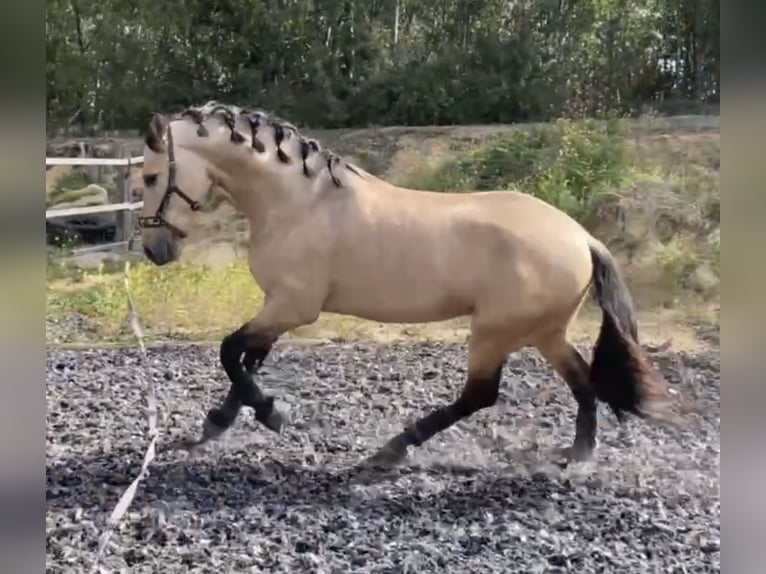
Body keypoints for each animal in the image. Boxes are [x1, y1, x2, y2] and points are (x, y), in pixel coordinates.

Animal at [140, 102, 680, 468]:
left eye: (147, 178)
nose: (154, 250)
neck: (299, 202)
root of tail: (582, 237)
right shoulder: (277, 307)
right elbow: (246, 360)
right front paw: (218, 422)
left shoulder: (292, 307)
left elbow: (230, 353)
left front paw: (274, 413)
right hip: (544, 332)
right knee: (582, 382)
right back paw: (579, 454)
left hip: (495, 331)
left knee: (480, 396)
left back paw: (393, 449)